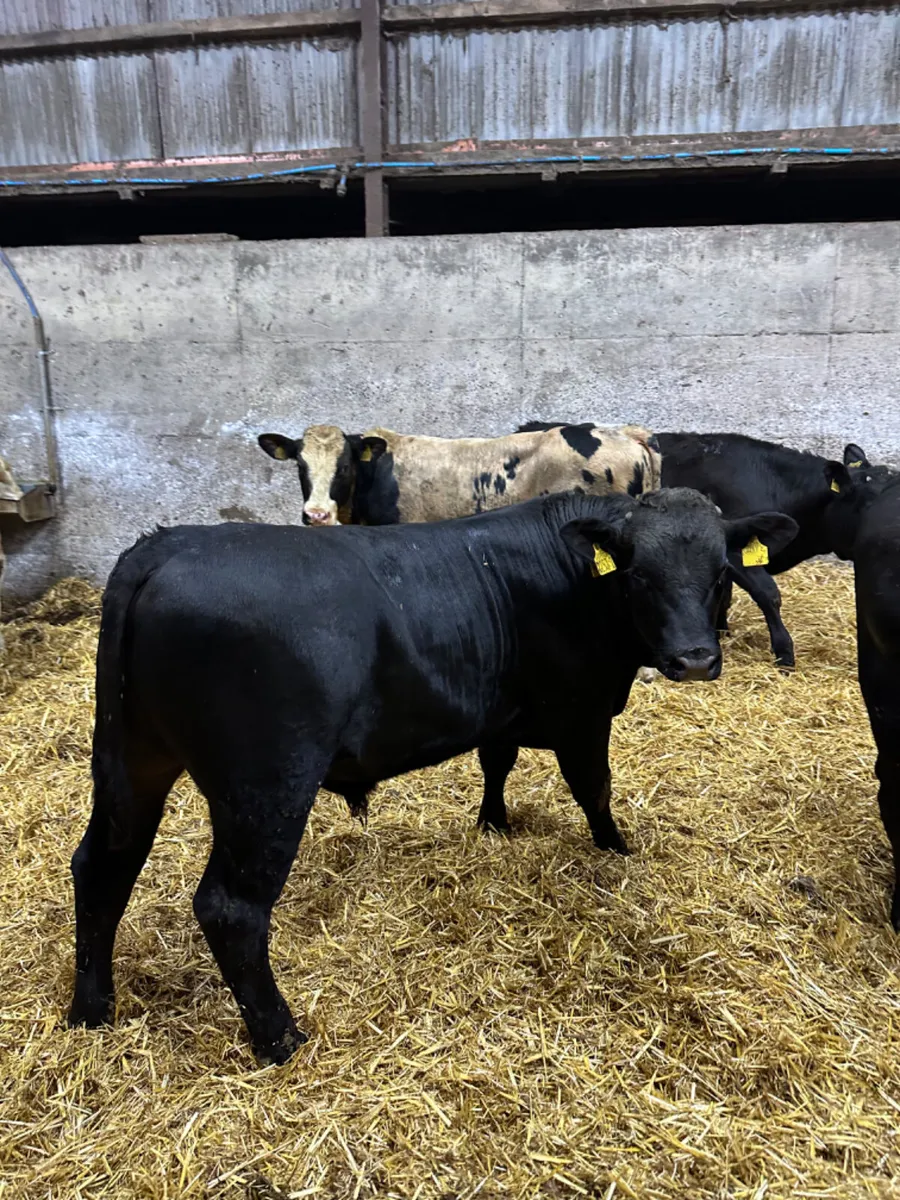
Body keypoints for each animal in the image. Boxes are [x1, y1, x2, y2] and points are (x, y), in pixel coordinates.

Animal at [68, 489, 796, 1063]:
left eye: (720, 572)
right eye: (639, 575)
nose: (695, 659)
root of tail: (165, 545)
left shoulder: (500, 711)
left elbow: (496, 764)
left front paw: (493, 824)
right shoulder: (583, 711)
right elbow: (594, 788)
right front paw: (617, 849)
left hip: (133, 761)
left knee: (102, 866)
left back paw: (92, 1009)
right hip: (266, 786)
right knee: (230, 908)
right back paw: (281, 1040)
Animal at [520, 424, 880, 669]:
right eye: (866, 499)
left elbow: (724, 591)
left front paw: (719, 628)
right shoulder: (738, 553)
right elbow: (768, 594)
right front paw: (784, 653)